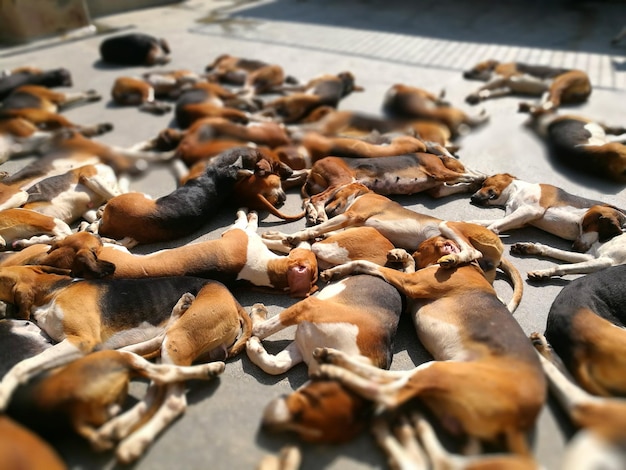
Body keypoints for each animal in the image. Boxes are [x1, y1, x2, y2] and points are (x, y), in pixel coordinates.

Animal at [0, 266, 251, 460]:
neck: (54, 291)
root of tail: (232, 299)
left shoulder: (81, 342)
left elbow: (22, 365)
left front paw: (4, 391)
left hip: (176, 341)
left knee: (173, 401)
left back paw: (135, 442)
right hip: (161, 350)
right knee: (156, 382)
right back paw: (116, 429)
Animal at [244, 274, 400, 442]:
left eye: (301, 435)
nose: (266, 424)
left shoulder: (302, 347)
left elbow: (276, 365)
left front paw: (254, 347)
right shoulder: (308, 307)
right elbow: (258, 329)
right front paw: (257, 315)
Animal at [314, 233, 544, 458]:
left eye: (422, 247)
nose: (408, 250)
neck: (466, 265)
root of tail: (517, 423)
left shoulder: (411, 284)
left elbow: (366, 264)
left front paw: (338, 270)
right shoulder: (409, 294)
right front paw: (401, 256)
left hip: (441, 370)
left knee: (389, 394)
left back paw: (333, 369)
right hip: (443, 380)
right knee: (393, 379)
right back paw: (331, 358)